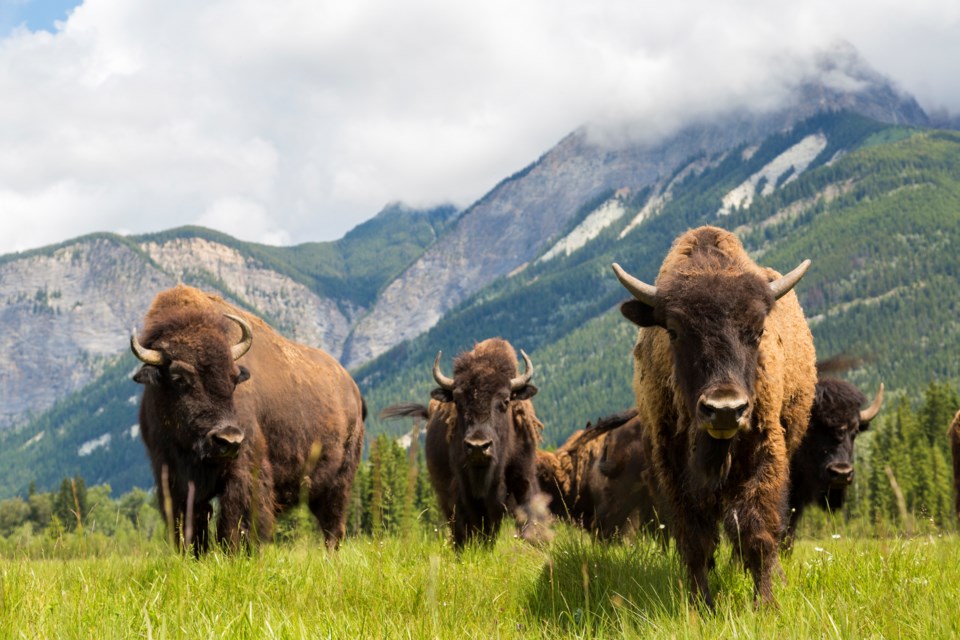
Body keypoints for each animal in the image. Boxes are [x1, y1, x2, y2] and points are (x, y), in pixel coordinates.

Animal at [131, 286, 364, 556]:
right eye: (179, 378)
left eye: (234, 378)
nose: (228, 439)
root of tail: (352, 389)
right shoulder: (173, 477)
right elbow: (191, 525)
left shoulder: (243, 469)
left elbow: (235, 521)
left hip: (339, 481)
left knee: (332, 525)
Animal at [616, 228, 816, 608]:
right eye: (674, 330)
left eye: (758, 329)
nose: (725, 409)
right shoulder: (673, 466)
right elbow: (695, 540)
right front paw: (700, 605)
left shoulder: (765, 453)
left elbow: (758, 532)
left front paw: (766, 604)